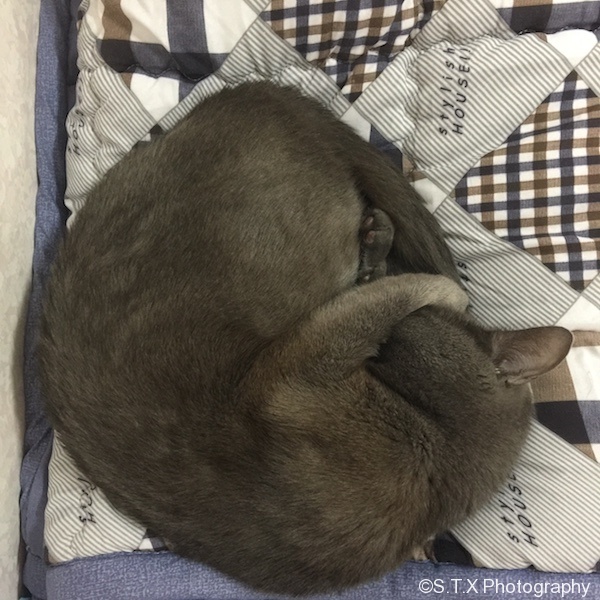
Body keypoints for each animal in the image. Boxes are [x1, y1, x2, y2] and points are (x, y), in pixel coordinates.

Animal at [39, 82, 572, 595]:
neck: (438, 460)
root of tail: (263, 94)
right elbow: (387, 291)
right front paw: (422, 280)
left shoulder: (295, 374)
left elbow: (388, 295)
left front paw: (439, 288)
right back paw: (378, 235)